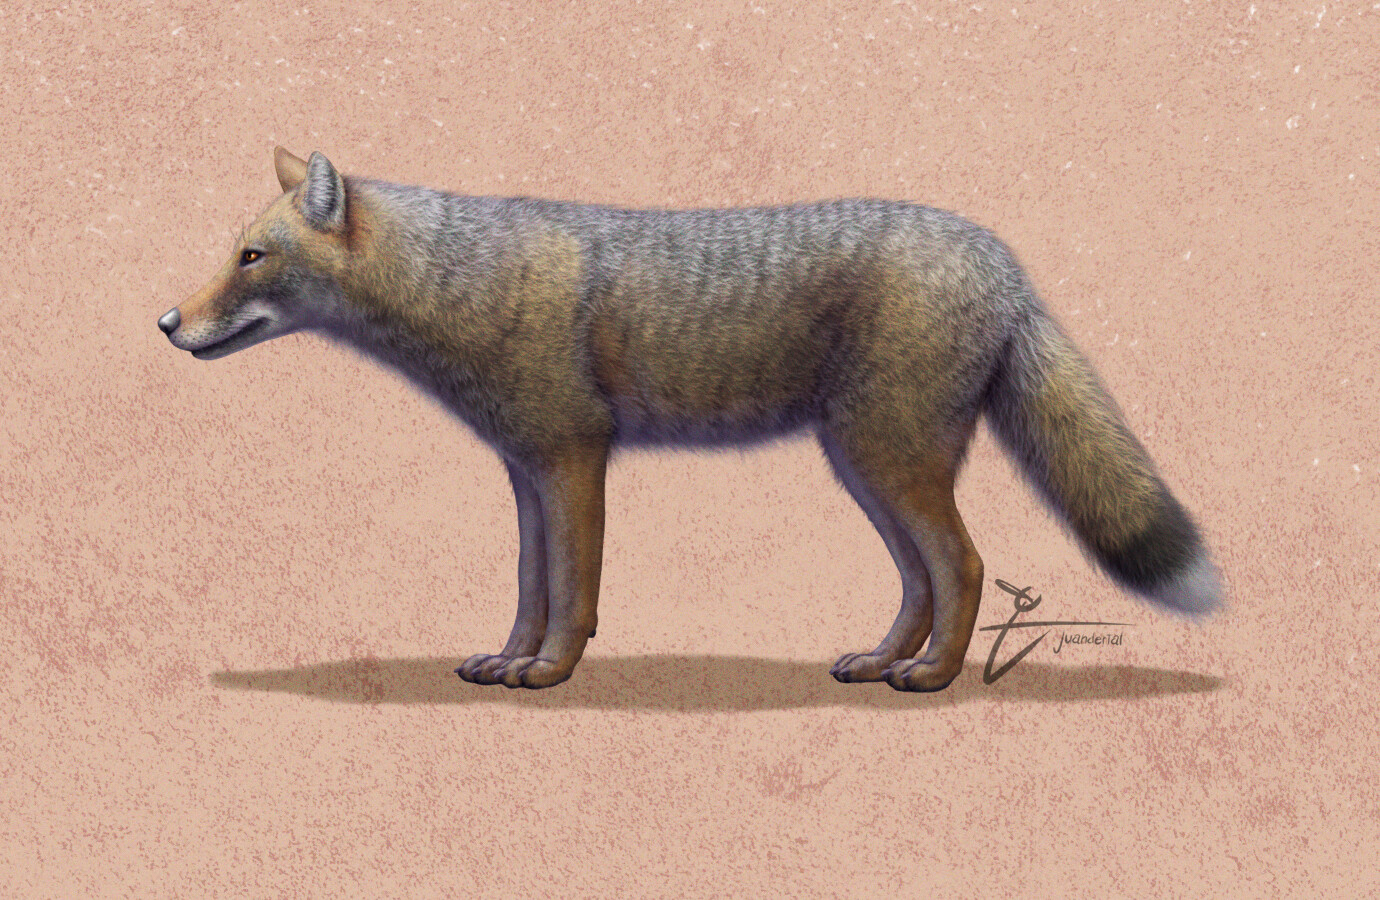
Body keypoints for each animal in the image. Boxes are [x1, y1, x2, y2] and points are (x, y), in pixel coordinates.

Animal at [158, 147, 1222, 692]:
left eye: (251, 257)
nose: (167, 323)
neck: (465, 283)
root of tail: (1002, 258)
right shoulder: (526, 468)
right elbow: (529, 584)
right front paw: (508, 659)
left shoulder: (574, 459)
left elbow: (573, 591)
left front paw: (549, 673)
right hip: (864, 466)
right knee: (922, 578)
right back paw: (884, 660)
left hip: (888, 460)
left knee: (962, 566)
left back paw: (931, 676)